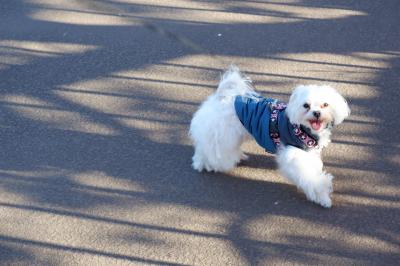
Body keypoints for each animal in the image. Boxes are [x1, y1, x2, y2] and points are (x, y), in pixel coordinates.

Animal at [189, 65, 348, 207]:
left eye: (325, 104)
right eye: (306, 105)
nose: (317, 113)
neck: (301, 128)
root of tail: (222, 96)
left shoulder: (308, 151)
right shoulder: (294, 154)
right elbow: (309, 176)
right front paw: (323, 195)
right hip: (222, 135)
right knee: (210, 150)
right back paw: (205, 164)